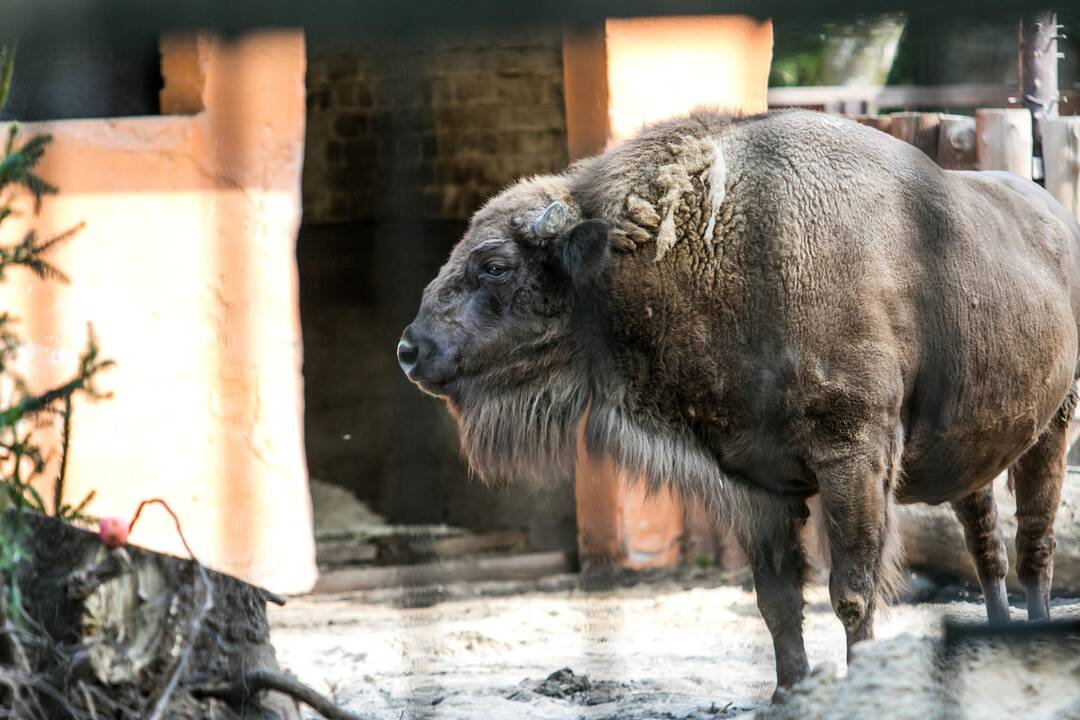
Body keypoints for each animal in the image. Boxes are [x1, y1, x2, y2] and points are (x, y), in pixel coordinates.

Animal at [397, 110, 1080, 690]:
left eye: (494, 266)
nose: (410, 349)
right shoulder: (757, 484)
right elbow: (776, 600)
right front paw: (786, 691)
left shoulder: (853, 459)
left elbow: (851, 591)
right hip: (977, 454)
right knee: (986, 544)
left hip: (1053, 430)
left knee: (1036, 545)